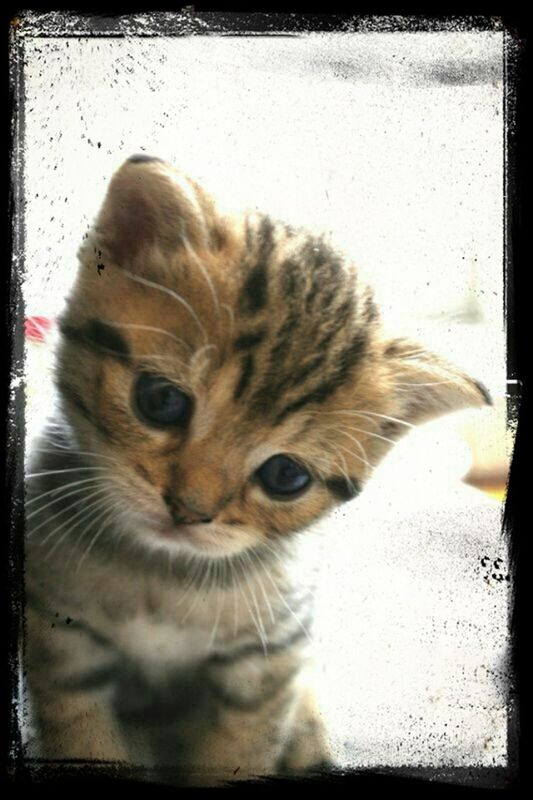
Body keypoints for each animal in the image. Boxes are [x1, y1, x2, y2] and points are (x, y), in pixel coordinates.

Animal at [25, 153, 490, 784]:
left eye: (285, 477)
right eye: (161, 401)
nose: (188, 511)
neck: (163, 576)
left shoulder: (268, 662)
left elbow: (238, 753)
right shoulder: (62, 640)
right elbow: (85, 740)